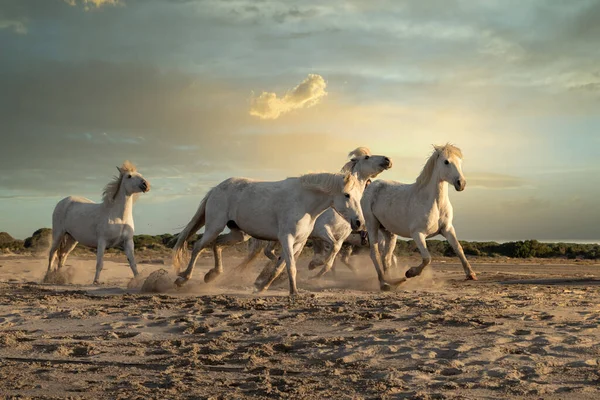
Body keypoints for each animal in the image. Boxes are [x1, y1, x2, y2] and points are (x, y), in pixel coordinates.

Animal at [171, 172, 364, 296]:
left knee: (217, 244)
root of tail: (216, 189)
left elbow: (279, 267)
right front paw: (294, 293)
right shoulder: (286, 239)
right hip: (214, 226)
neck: (304, 203)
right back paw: (183, 279)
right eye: (347, 195)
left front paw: (262, 287)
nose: (359, 223)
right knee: (198, 246)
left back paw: (213, 274)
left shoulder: (299, 242)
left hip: (239, 235)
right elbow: (290, 266)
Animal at [360, 144, 478, 290]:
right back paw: (384, 284)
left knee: (386, 257)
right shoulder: (418, 234)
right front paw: (410, 272)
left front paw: (471, 274)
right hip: (372, 225)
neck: (434, 203)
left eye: (460, 162)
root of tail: (370, 187)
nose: (461, 183)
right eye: (446, 162)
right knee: (375, 254)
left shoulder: (447, 229)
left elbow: (459, 249)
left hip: (389, 232)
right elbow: (427, 258)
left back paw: (394, 281)